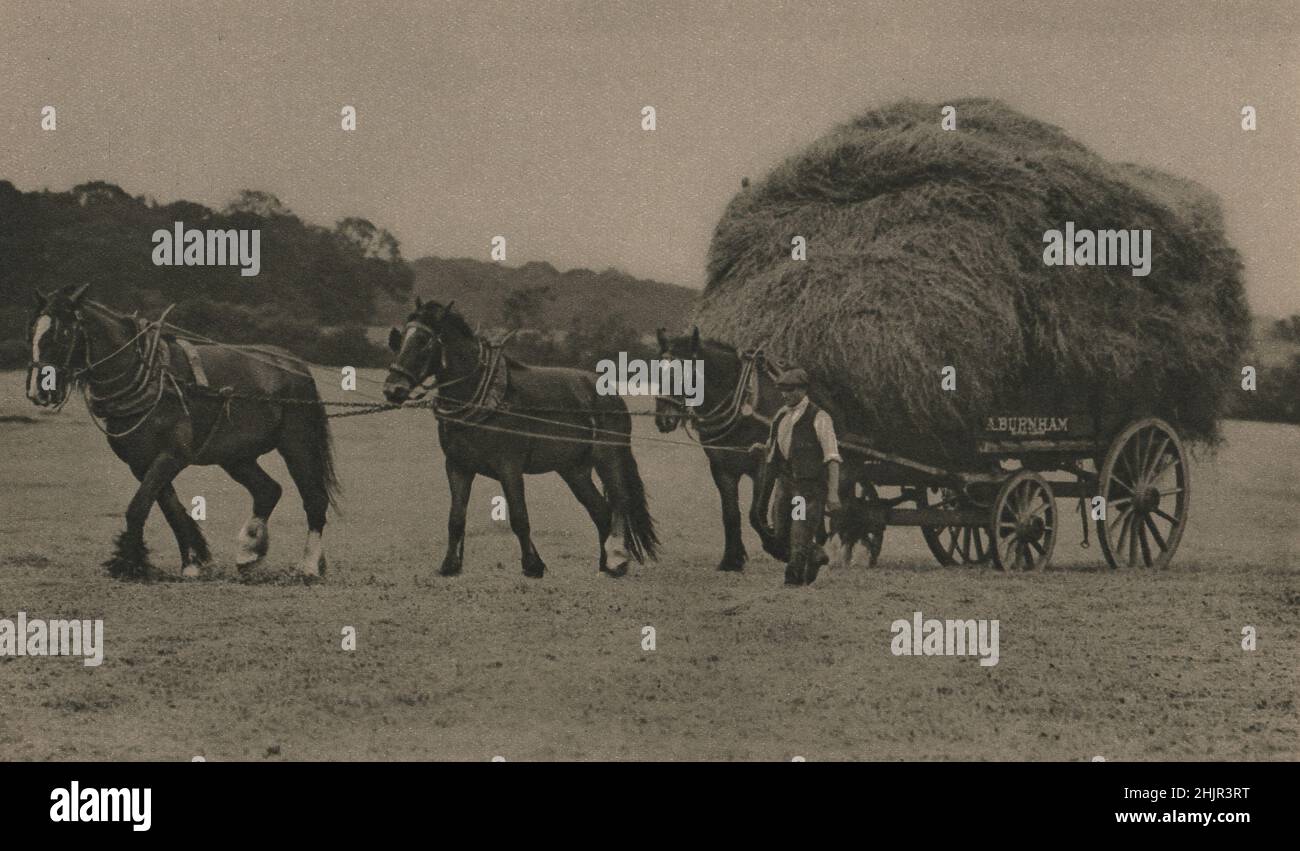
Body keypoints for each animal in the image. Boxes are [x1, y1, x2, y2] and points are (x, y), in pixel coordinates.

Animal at [27, 284, 340, 579]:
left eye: (62, 333)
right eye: (33, 332)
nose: (37, 391)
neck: (151, 376)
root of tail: (294, 364)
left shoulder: (172, 455)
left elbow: (138, 506)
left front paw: (129, 563)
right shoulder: (142, 463)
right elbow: (172, 510)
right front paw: (192, 562)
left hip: (298, 444)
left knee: (314, 499)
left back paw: (308, 566)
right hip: (235, 456)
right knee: (267, 490)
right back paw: (249, 552)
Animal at [379, 300, 655, 579]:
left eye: (424, 341)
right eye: (400, 340)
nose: (393, 389)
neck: (483, 395)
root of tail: (610, 393)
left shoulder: (509, 467)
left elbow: (519, 517)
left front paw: (533, 565)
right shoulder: (458, 467)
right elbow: (456, 517)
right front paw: (450, 565)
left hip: (609, 458)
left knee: (620, 503)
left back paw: (617, 561)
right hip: (573, 470)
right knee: (600, 511)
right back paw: (603, 563)